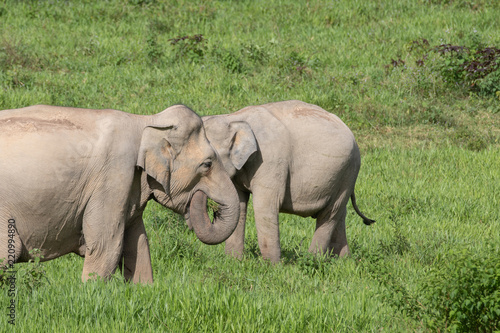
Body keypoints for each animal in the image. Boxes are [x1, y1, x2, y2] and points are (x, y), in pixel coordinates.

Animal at [0, 104, 240, 282]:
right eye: (207, 164)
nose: (213, 209)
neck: (145, 121)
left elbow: (138, 243)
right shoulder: (113, 176)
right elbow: (107, 245)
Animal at [201, 98, 374, 262]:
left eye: (208, 163)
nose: (214, 212)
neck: (233, 118)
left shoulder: (271, 161)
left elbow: (264, 207)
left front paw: (272, 267)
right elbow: (239, 203)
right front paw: (233, 262)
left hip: (348, 171)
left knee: (330, 214)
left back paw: (312, 260)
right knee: (340, 214)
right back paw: (344, 261)